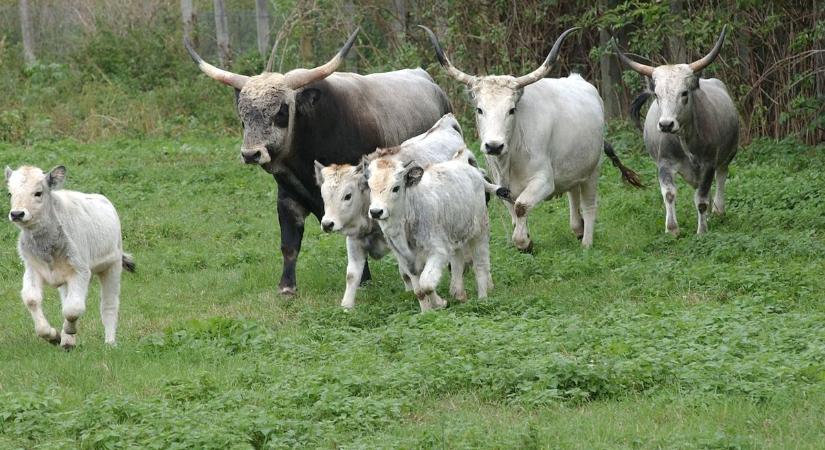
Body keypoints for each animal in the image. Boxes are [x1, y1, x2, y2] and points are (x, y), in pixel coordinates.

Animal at [5, 165, 134, 348]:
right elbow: (32, 300)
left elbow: (73, 309)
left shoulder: (81, 271)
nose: (17, 214)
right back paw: (68, 342)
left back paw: (109, 343)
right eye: (10, 193)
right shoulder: (32, 268)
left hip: (113, 265)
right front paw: (54, 336)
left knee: (109, 305)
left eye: (38, 193)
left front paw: (68, 330)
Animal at [366, 149, 490, 312]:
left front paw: (440, 303)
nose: (376, 212)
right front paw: (426, 312)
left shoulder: (438, 251)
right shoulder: (406, 260)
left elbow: (426, 284)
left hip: (479, 231)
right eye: (370, 187)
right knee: (457, 261)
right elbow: (419, 291)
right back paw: (459, 294)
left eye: (396, 187)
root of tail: (461, 161)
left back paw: (482, 298)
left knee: (480, 264)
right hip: (454, 235)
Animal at [418, 26, 644, 251]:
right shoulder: (501, 185)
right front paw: (525, 239)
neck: (511, 155)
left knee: (589, 206)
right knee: (573, 194)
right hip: (573, 167)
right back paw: (577, 228)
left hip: (593, 169)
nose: (494, 146)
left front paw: (524, 242)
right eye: (479, 109)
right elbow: (513, 212)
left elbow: (521, 206)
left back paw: (586, 243)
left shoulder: (543, 180)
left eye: (511, 110)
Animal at [616, 26, 736, 236]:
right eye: (657, 95)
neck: (684, 139)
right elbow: (669, 194)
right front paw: (672, 229)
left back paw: (718, 211)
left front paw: (702, 231)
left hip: (726, 157)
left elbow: (701, 199)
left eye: (684, 93)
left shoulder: (708, 164)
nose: (666, 125)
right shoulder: (664, 163)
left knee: (721, 177)